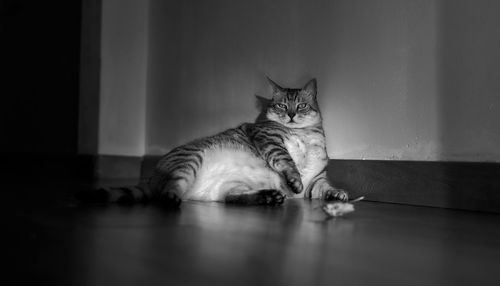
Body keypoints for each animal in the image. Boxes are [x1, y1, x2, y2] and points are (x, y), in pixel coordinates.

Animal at [79, 78, 348, 207]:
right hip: (188, 162)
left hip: (230, 186)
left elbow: (324, 188)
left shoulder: (316, 179)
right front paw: (294, 180)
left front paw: (338, 194)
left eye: (301, 105)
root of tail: (153, 176)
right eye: (281, 105)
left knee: (230, 198)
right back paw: (171, 200)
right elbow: (286, 160)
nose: (291, 115)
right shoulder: (268, 138)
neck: (304, 135)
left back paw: (267, 197)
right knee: (168, 191)